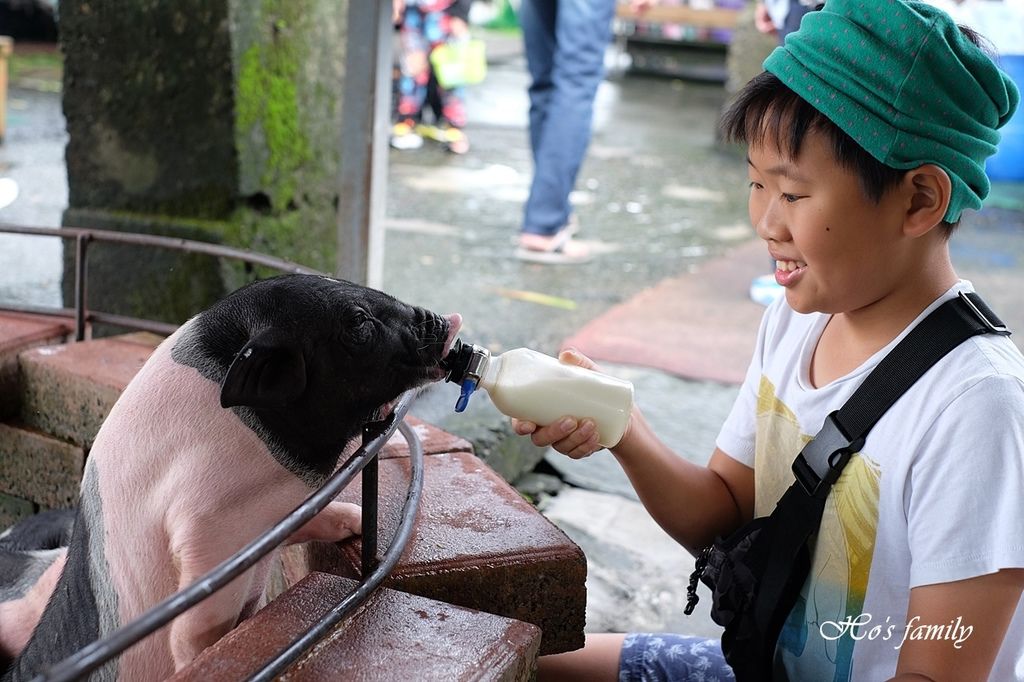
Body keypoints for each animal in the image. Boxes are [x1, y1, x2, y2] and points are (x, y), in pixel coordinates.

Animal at [0, 274, 460, 679]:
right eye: (359, 321)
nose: (449, 318)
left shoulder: (274, 516)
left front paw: (357, 522)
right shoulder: (205, 524)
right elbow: (194, 625)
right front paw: (203, 660)